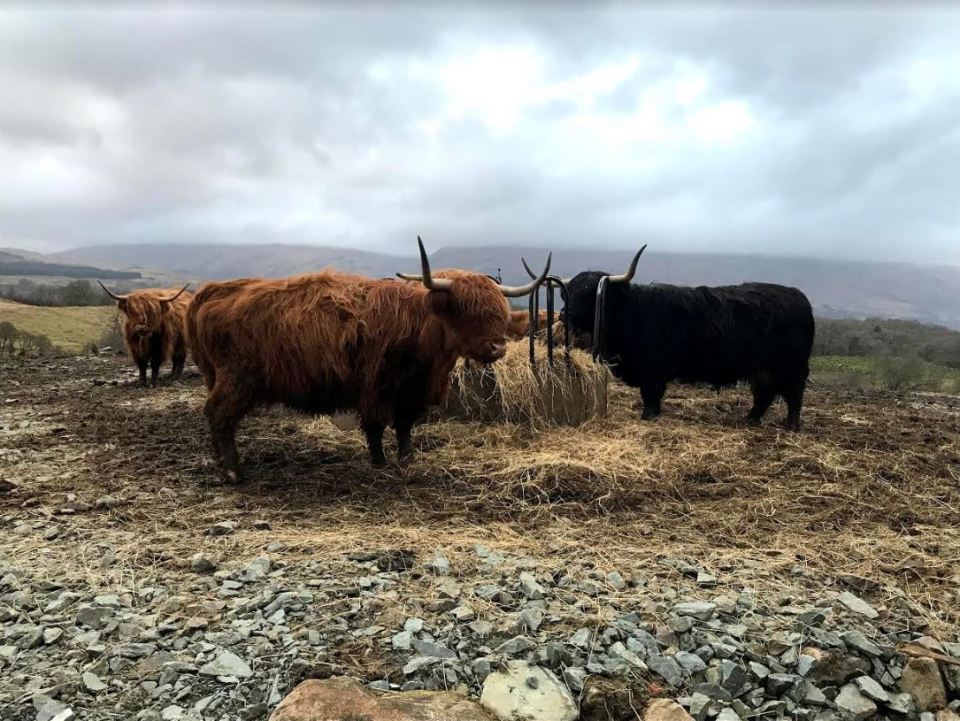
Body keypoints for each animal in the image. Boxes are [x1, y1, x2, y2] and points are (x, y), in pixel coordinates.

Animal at [188, 239, 552, 480]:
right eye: (464, 310)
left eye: (499, 311)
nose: (498, 347)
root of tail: (218, 290)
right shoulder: (375, 386)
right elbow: (376, 427)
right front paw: (379, 462)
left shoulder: (413, 392)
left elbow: (405, 426)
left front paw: (407, 458)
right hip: (237, 379)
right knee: (218, 414)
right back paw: (233, 471)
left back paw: (220, 462)